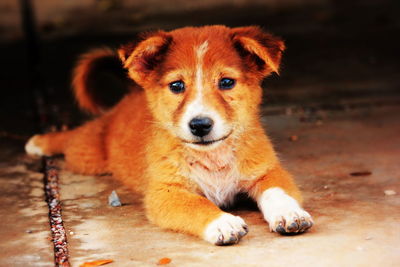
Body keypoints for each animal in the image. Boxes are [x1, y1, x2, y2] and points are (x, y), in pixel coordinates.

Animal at [25, 25, 314, 247]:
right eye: (177, 85)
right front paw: (222, 223)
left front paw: (289, 213)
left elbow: (277, 191)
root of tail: (130, 94)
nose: (200, 125)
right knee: (75, 138)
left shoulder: (267, 170)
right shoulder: (164, 192)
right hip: (87, 155)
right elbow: (196, 204)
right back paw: (39, 142)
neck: (213, 157)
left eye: (226, 82)